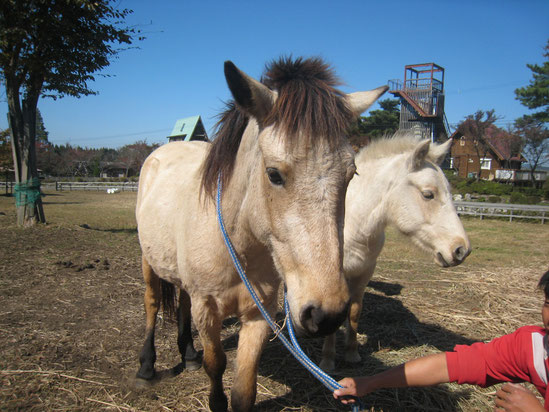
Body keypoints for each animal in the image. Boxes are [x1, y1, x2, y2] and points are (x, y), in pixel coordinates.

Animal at [134, 56, 388, 410]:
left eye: (351, 175)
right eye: (274, 174)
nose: (326, 315)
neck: (236, 246)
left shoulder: (258, 314)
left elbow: (244, 391)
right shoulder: (207, 309)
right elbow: (216, 365)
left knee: (181, 301)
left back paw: (189, 354)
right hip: (148, 260)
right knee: (152, 303)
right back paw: (146, 366)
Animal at [318, 134, 468, 370]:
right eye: (428, 194)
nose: (461, 249)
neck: (352, 225)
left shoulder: (364, 273)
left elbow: (354, 312)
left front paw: (352, 353)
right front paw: (327, 360)